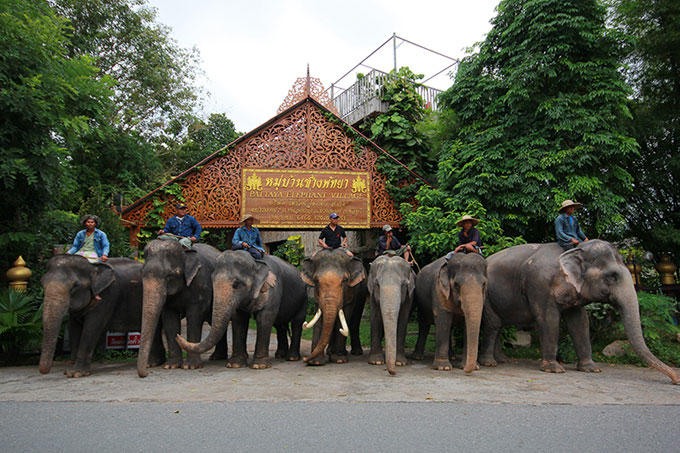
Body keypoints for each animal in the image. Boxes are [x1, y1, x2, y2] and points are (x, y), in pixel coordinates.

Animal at [135, 238, 226, 376]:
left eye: (169, 275)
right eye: (142, 275)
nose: (146, 373)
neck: (185, 253)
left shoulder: (200, 285)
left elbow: (194, 318)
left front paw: (190, 367)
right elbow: (169, 320)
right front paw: (171, 366)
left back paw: (217, 357)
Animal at [175, 249, 306, 370]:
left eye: (237, 284)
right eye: (212, 281)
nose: (177, 336)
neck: (255, 263)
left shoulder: (272, 290)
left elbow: (264, 319)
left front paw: (259, 366)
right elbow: (239, 320)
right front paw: (235, 364)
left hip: (303, 299)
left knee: (297, 322)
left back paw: (292, 357)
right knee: (280, 325)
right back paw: (280, 355)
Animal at [478, 238, 680, 384]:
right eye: (612, 276)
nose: (676, 380)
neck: (574, 251)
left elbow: (580, 322)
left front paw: (592, 369)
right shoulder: (539, 285)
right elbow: (548, 319)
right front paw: (554, 370)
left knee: (500, 325)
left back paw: (502, 360)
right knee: (494, 324)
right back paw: (490, 363)